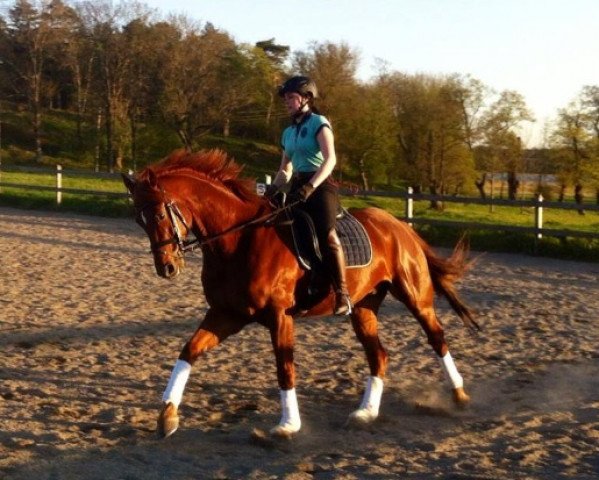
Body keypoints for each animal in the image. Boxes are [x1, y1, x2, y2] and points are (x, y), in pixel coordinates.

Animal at [124, 149, 480, 438]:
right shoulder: (227, 314)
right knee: (378, 355)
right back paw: (365, 413)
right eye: (138, 221)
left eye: (159, 214)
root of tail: (399, 225)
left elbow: (285, 369)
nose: (167, 268)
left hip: (415, 297)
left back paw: (460, 395)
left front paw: (287, 425)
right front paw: (167, 416)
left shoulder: (279, 316)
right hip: (363, 308)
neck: (239, 240)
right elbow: (188, 352)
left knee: (437, 338)